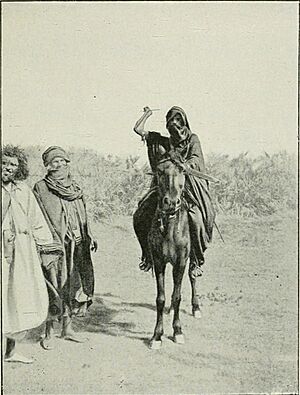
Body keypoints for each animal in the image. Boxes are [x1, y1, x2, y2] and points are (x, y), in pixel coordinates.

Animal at [148, 157, 202, 350]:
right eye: (159, 171)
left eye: (183, 171)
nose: (171, 202)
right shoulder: (159, 262)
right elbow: (160, 298)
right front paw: (157, 336)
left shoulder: (181, 261)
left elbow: (178, 297)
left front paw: (178, 331)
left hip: (190, 260)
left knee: (192, 277)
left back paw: (196, 307)